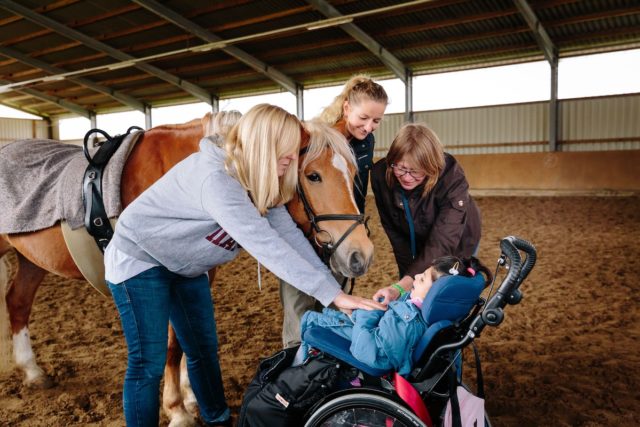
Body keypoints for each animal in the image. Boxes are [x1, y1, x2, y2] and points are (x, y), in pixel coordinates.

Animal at [0, 113, 376, 427]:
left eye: (354, 173)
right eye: (313, 175)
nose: (361, 254)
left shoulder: (194, 275)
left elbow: (186, 340)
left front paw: (191, 397)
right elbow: (170, 345)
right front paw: (177, 410)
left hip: (31, 260)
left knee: (18, 301)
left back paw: (33, 372)